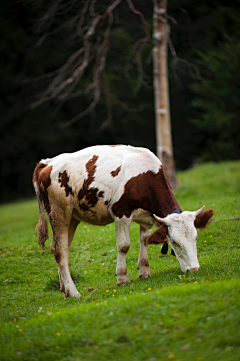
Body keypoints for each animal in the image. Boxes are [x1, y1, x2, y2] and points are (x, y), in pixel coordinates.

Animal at [32, 145, 214, 296]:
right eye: (174, 242)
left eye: (196, 237)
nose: (194, 269)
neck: (144, 176)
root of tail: (48, 162)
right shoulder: (121, 213)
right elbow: (123, 245)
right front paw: (122, 278)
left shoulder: (146, 217)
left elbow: (145, 240)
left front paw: (144, 271)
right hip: (59, 213)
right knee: (59, 250)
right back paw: (72, 291)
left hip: (72, 218)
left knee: (61, 248)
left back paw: (63, 287)